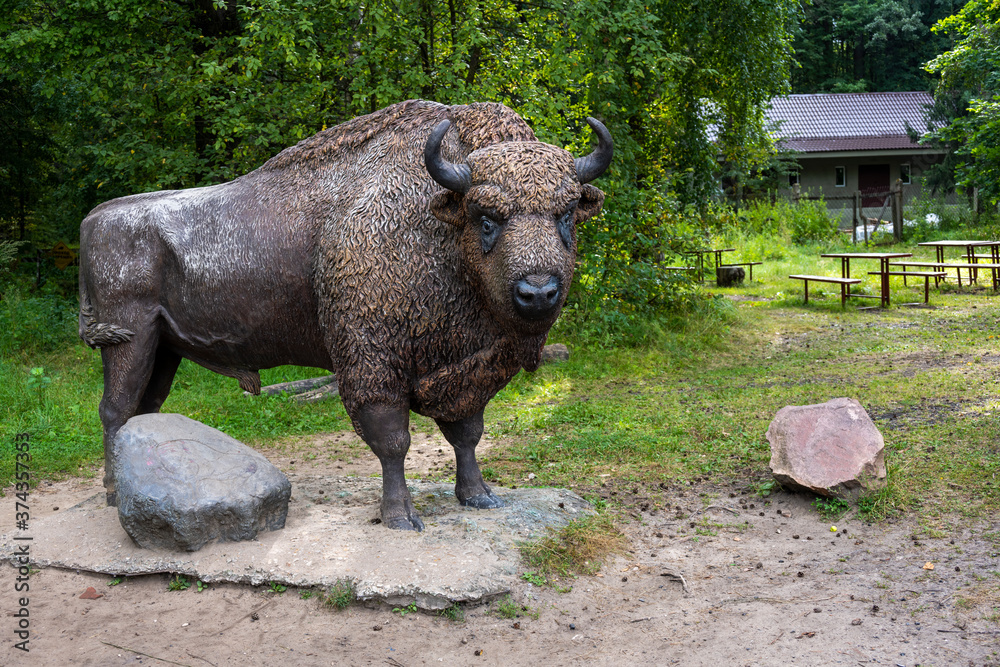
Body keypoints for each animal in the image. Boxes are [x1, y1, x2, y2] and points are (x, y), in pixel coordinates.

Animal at [80, 99, 612, 530]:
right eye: (486, 218)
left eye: (567, 215)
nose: (538, 292)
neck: (437, 225)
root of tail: (93, 218)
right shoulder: (371, 365)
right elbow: (393, 441)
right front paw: (400, 517)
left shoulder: (467, 369)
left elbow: (466, 434)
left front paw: (479, 497)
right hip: (129, 339)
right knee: (114, 409)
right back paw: (112, 495)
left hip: (164, 349)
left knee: (143, 410)